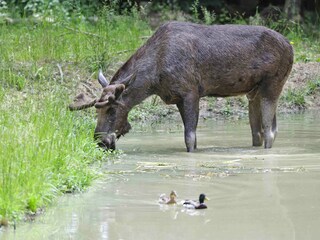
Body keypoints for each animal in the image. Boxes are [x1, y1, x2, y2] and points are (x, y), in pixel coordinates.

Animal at [69, 21, 292, 152]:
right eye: (97, 111)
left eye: (112, 110)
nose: (101, 142)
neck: (154, 79)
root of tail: (292, 48)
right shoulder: (177, 97)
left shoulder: (191, 92)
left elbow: (189, 138)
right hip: (253, 92)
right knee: (259, 132)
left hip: (272, 84)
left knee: (269, 131)